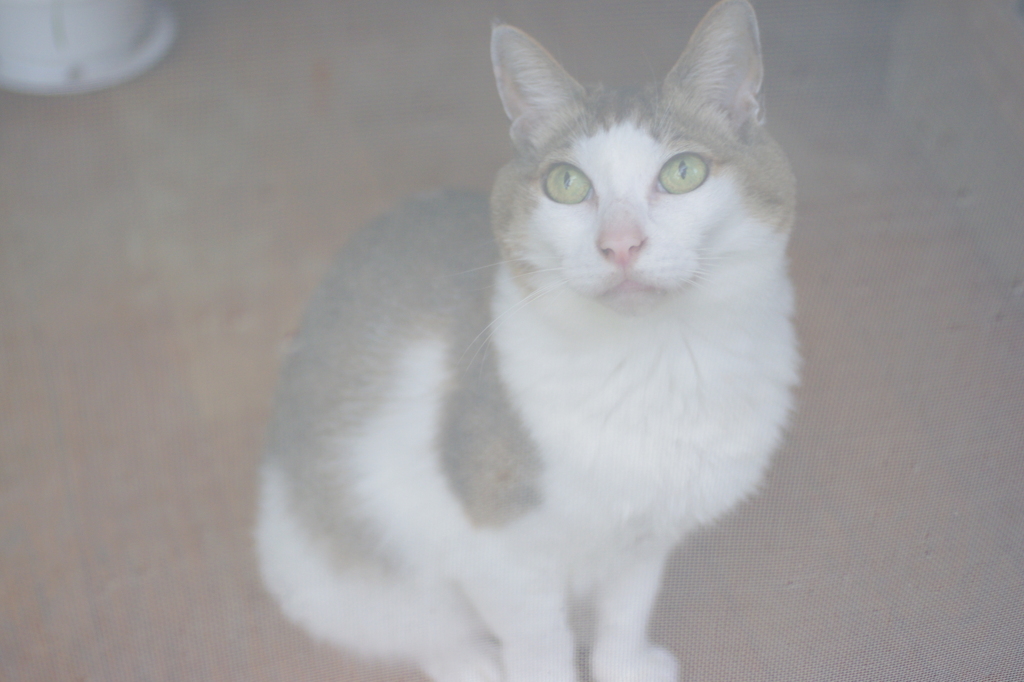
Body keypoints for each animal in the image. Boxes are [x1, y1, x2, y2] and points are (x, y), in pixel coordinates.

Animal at [256, 2, 798, 675]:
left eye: (683, 172)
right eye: (566, 184)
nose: (620, 244)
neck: (660, 359)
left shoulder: (646, 538)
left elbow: (627, 612)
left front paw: (622, 665)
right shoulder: (501, 558)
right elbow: (543, 648)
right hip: (353, 569)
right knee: (420, 629)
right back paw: (474, 663)